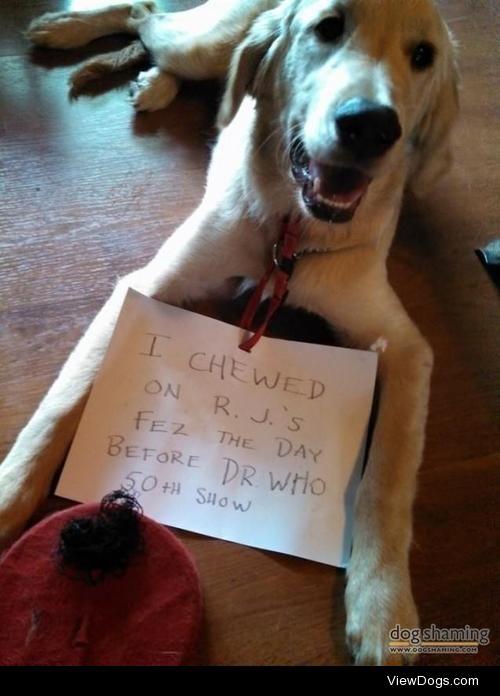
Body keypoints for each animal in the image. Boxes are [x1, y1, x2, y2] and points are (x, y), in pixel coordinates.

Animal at [0, 0, 458, 664]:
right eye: (328, 26)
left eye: (422, 56)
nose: (371, 127)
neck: (291, 234)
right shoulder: (147, 284)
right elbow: (59, 409)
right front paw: (8, 496)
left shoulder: (405, 348)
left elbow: (389, 481)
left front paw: (383, 606)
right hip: (203, 43)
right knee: (145, 19)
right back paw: (67, 30)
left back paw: (151, 83)